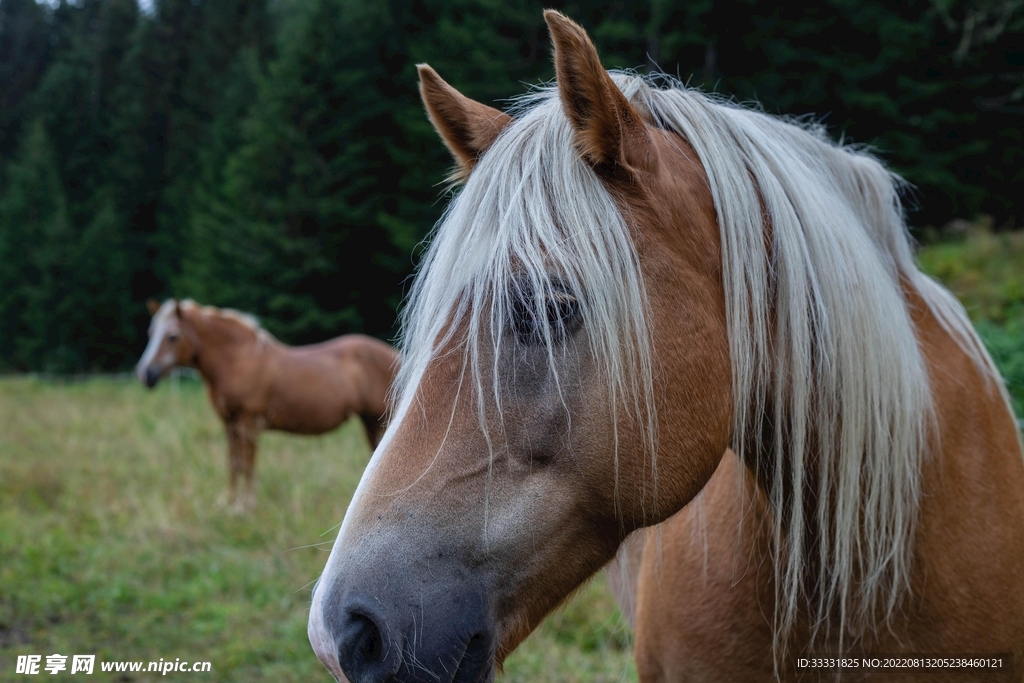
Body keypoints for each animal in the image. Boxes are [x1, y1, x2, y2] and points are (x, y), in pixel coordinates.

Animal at [135, 298, 398, 512]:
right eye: (150, 332)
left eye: (172, 336)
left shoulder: (249, 423)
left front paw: (245, 506)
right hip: (370, 422)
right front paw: (228, 504)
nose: (145, 374)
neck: (239, 360)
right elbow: (233, 462)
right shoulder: (230, 424)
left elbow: (247, 463)